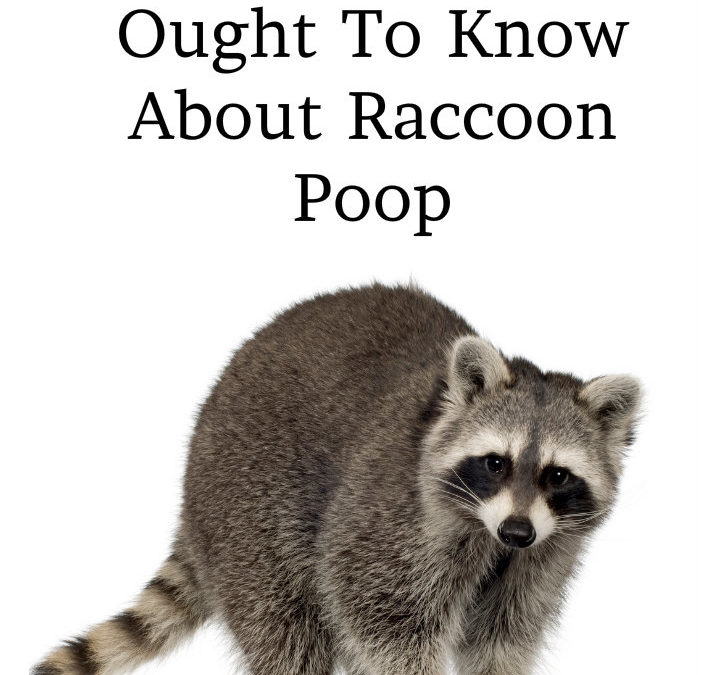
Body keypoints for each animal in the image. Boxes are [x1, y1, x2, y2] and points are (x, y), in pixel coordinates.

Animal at [34, 284, 641, 675]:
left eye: (557, 475)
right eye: (496, 463)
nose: (517, 532)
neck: (487, 531)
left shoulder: (544, 556)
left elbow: (503, 637)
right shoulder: (390, 518)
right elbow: (382, 620)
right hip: (248, 512)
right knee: (287, 632)